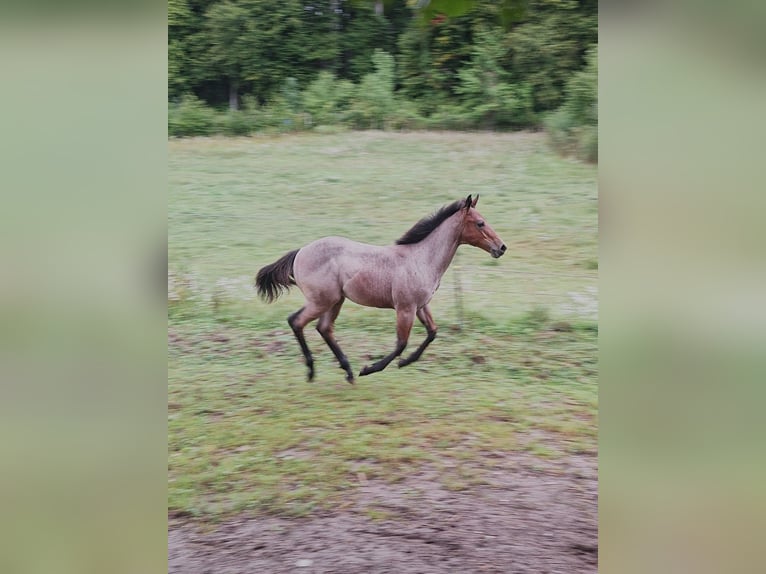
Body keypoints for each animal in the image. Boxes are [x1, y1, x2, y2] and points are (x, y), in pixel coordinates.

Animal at [255, 194, 506, 384]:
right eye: (480, 223)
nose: (501, 247)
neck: (421, 258)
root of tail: (300, 252)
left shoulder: (420, 306)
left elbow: (432, 332)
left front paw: (404, 363)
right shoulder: (405, 308)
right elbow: (401, 343)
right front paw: (370, 369)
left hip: (336, 300)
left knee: (324, 328)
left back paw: (347, 371)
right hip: (321, 300)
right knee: (296, 321)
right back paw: (312, 371)